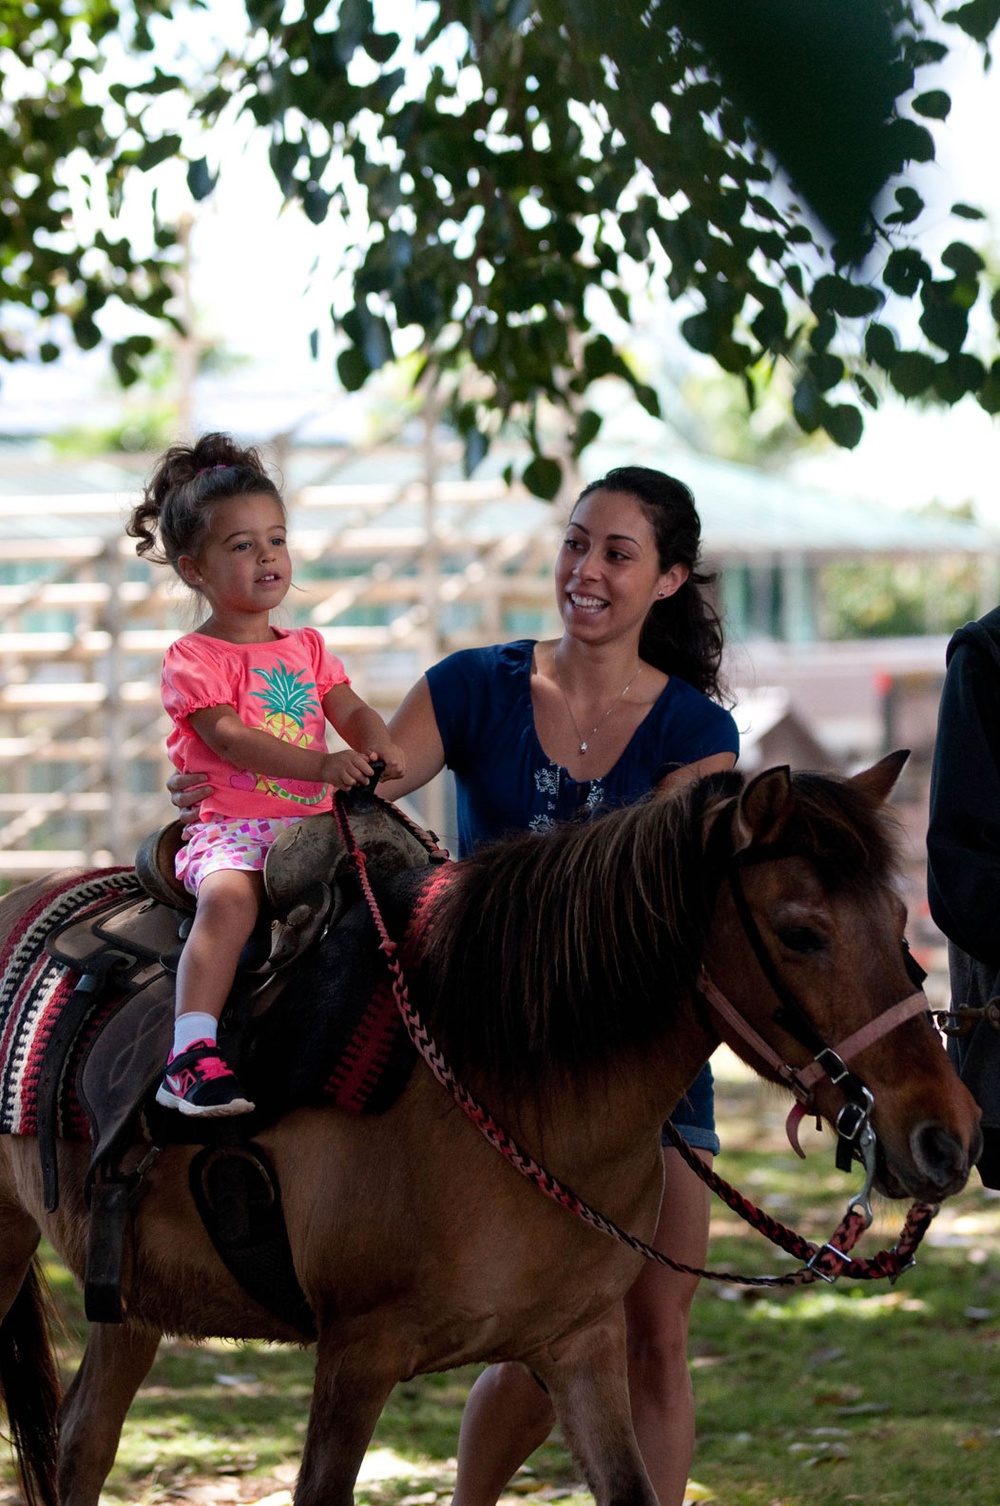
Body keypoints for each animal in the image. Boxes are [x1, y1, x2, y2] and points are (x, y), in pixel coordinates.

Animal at [0, 759, 975, 1506]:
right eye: (800, 933)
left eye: (901, 921)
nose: (948, 1137)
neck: (504, 1089)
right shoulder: (356, 1356)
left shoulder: (581, 1348)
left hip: (129, 1298)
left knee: (83, 1446)